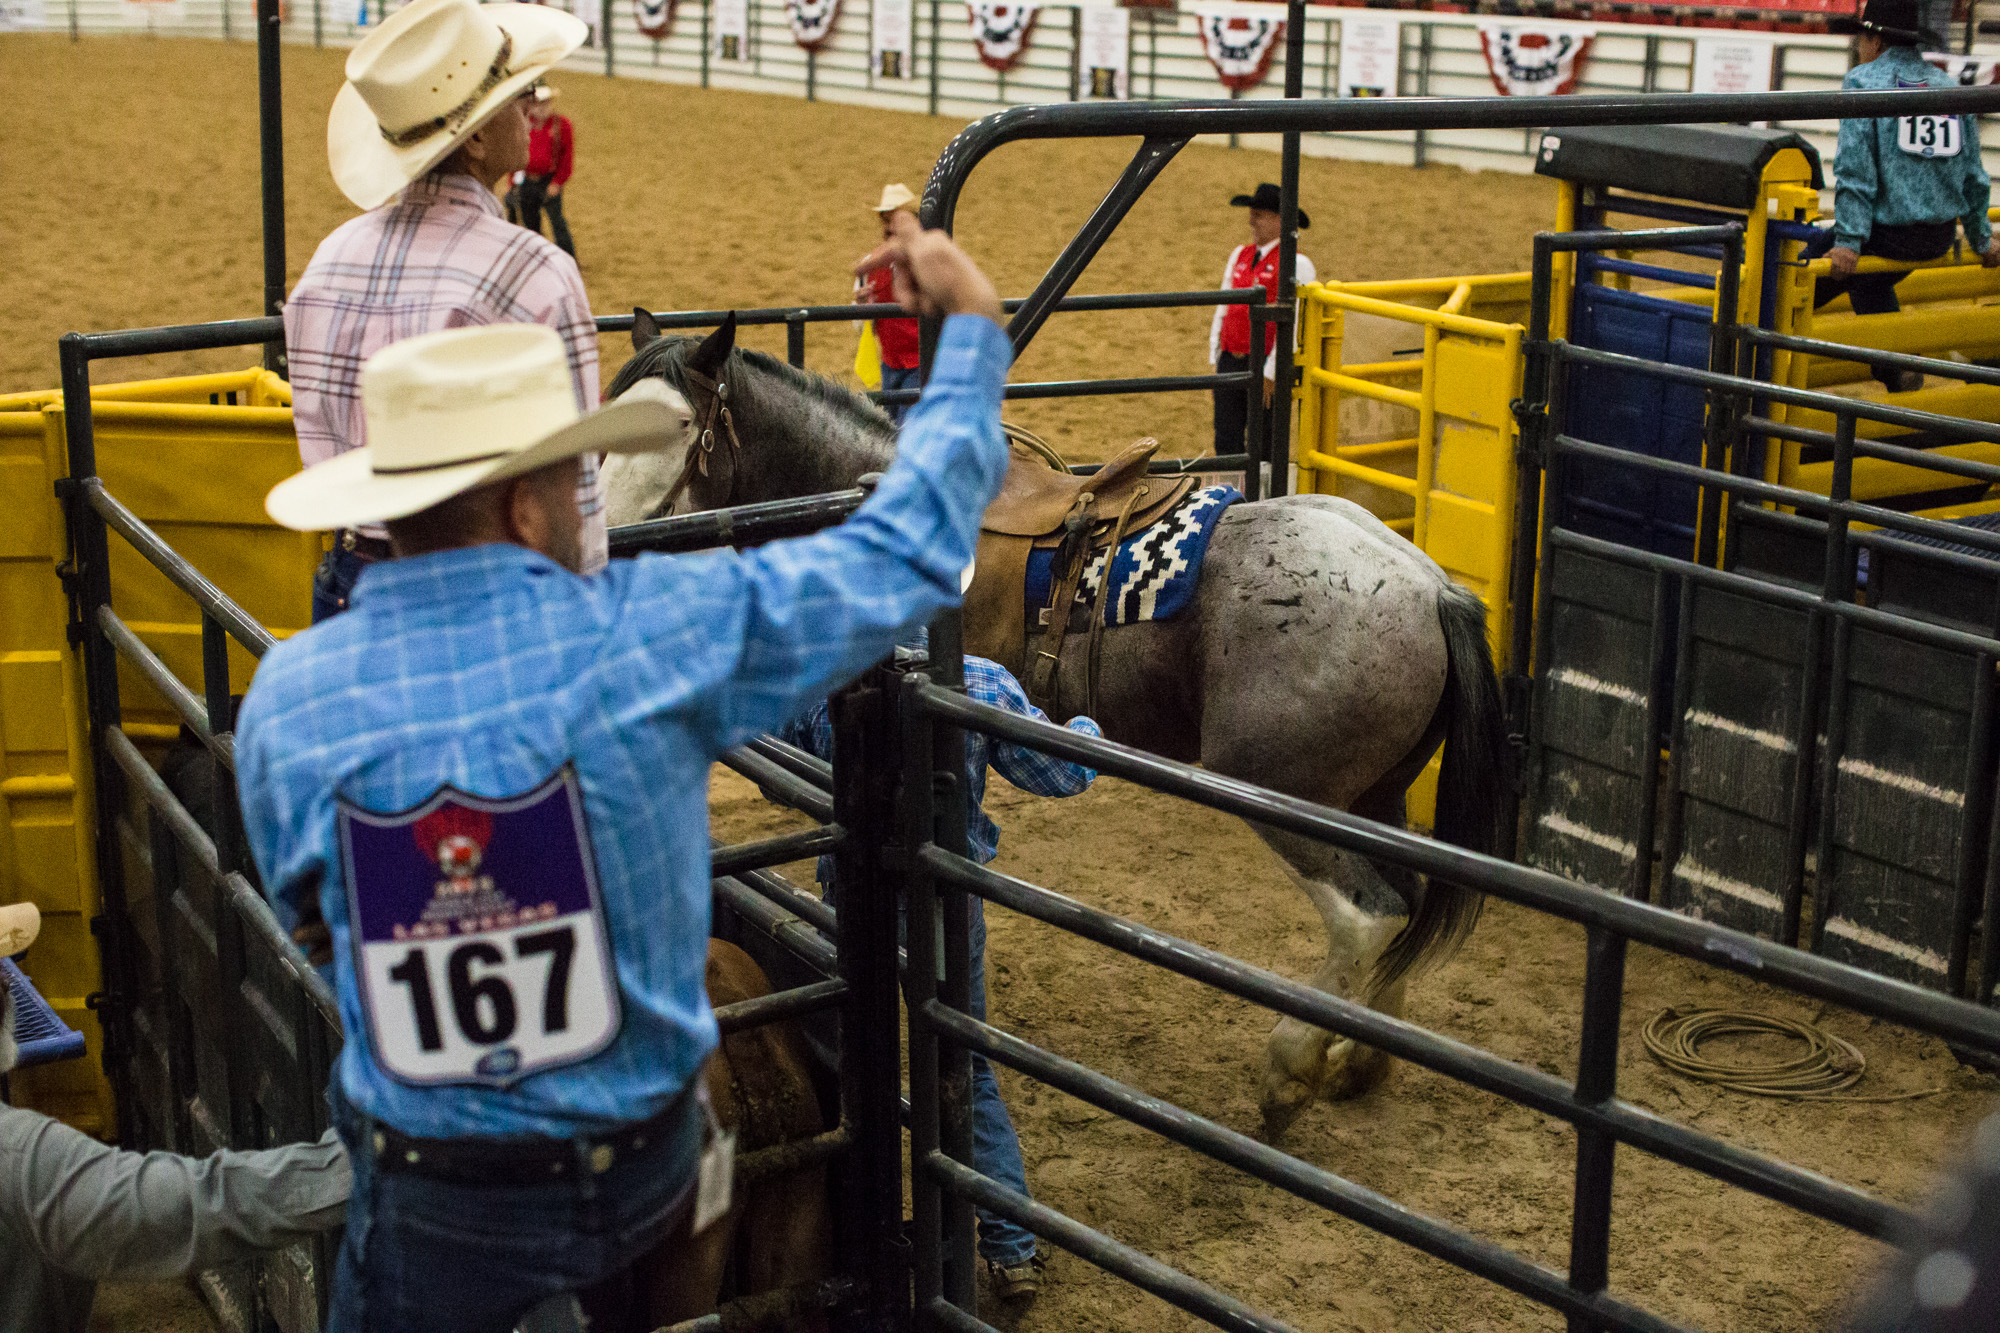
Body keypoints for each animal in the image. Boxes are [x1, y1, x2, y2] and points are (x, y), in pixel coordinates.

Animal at [600, 308, 1504, 1128]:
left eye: (677, 426)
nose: (603, 542)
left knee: (1368, 915)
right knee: (1406, 899)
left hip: (1285, 793)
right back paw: (1361, 1062)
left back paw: (1290, 1071)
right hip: (1372, 800)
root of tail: (1433, 590)